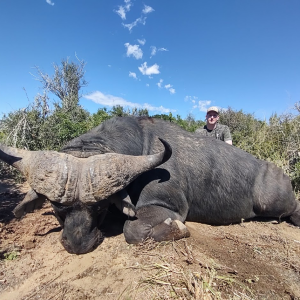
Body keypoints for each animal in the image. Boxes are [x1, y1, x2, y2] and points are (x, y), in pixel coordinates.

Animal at [0, 116, 300, 254]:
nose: (77, 243)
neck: (142, 145)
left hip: (273, 202)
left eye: (99, 208)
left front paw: (176, 229)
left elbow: (133, 230)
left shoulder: (164, 206)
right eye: (56, 207)